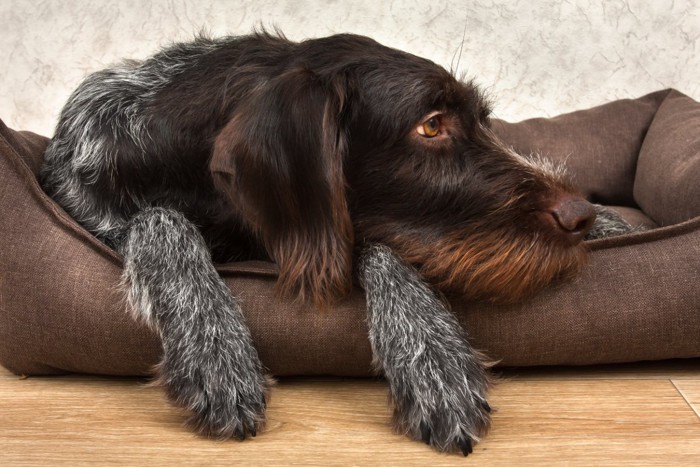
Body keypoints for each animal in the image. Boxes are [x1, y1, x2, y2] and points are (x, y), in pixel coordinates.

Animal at [38, 31, 636, 456]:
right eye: (431, 125)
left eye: (482, 121)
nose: (579, 214)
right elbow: (160, 221)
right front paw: (214, 350)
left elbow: (375, 245)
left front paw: (432, 353)